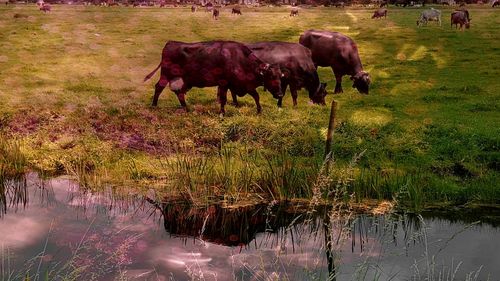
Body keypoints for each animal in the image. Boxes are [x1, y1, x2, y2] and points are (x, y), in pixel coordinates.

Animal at [146, 40, 286, 114]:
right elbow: (223, 99)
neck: (239, 59)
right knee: (159, 87)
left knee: (179, 92)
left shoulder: (244, 84)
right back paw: (154, 105)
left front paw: (259, 110)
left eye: (280, 77)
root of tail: (170, 43)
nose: (280, 94)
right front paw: (222, 113)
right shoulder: (224, 83)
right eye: (271, 76)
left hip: (182, 79)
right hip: (165, 74)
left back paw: (186, 107)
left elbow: (256, 96)